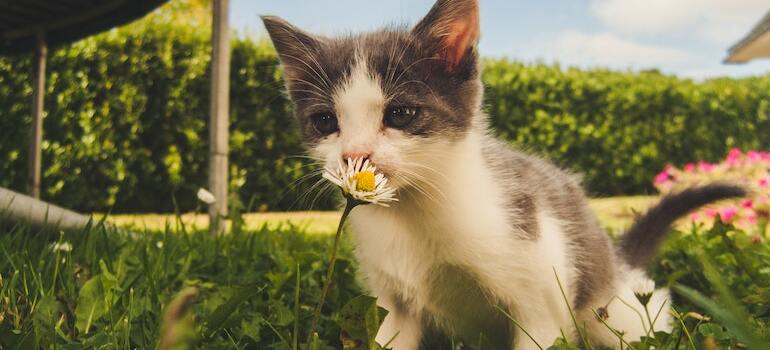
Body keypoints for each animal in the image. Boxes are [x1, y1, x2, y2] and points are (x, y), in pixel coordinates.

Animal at [260, 1, 740, 348]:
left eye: (400, 114)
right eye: (325, 122)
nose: (354, 156)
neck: (415, 212)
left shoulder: (542, 292)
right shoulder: (391, 303)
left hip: (619, 314)